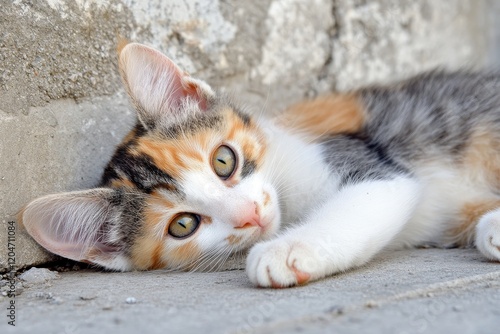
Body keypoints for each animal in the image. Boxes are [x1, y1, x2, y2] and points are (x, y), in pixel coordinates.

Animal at [18, 41, 500, 288]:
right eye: (183, 225)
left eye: (223, 160)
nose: (249, 214)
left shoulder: (373, 164)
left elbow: (361, 202)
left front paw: (288, 250)